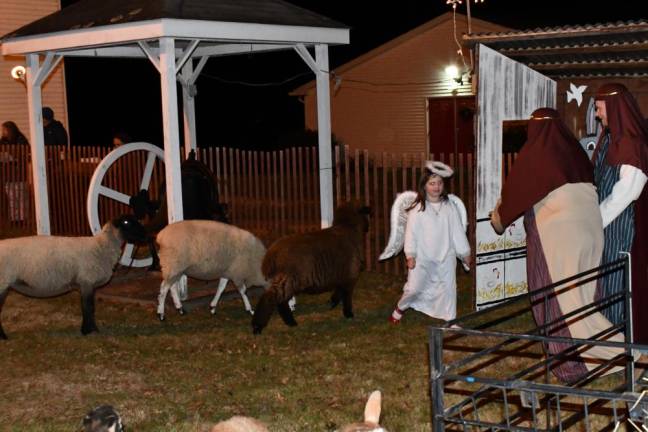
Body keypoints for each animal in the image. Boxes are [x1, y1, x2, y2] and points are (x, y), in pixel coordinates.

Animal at [0, 214, 147, 340]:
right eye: (126, 222)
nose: (146, 235)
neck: (102, 246)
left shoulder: (86, 284)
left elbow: (89, 307)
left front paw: (89, 329)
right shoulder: (86, 281)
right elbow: (88, 307)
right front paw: (89, 331)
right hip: (2, 282)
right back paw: (3, 337)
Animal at [251, 201, 370, 336]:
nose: (368, 227)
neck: (348, 228)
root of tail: (273, 252)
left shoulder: (342, 275)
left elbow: (339, 290)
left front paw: (332, 303)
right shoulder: (350, 275)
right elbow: (347, 296)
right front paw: (348, 313)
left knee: (281, 301)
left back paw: (290, 322)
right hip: (290, 279)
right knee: (271, 298)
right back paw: (258, 326)